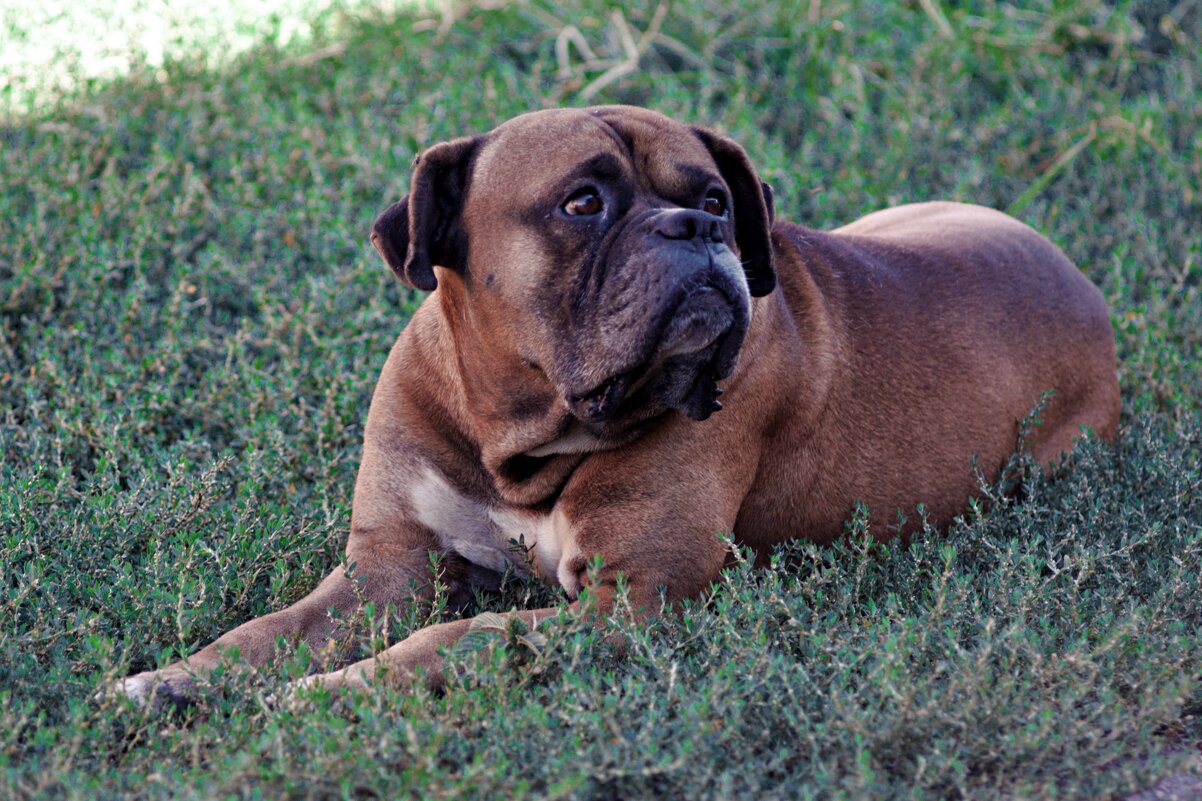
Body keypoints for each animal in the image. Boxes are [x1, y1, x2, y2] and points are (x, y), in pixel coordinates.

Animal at [112, 104, 1115, 697]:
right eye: (582, 202)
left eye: (716, 195)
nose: (700, 224)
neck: (520, 439)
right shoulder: (389, 565)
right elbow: (268, 630)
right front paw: (171, 680)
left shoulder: (626, 601)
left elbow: (455, 640)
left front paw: (321, 695)